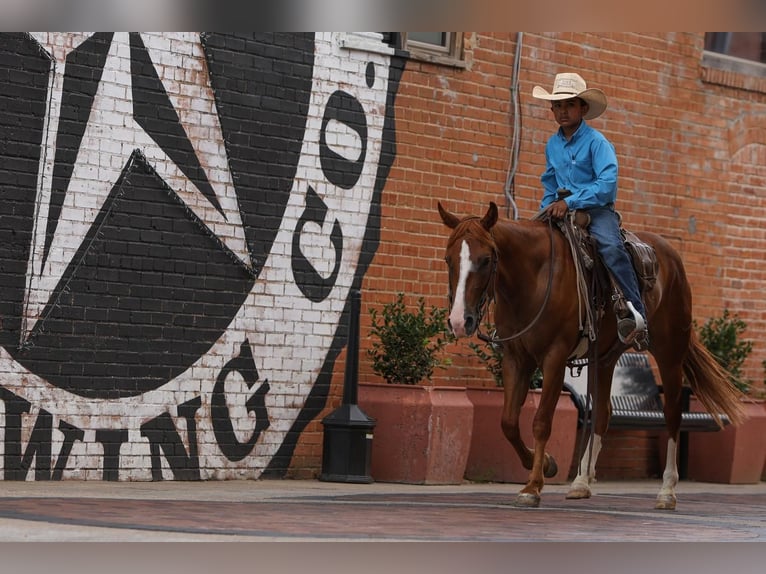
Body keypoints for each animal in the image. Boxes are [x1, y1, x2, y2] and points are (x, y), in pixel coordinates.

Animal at [440, 204, 748, 512]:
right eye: (448, 259)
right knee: (603, 413)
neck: (534, 279)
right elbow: (508, 423)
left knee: (672, 416)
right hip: (605, 359)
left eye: (485, 259)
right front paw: (547, 464)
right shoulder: (516, 358)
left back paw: (667, 491)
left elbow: (541, 422)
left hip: (670, 353)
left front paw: (533, 486)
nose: (459, 321)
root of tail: (670, 255)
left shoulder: (554, 357)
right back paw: (581, 482)